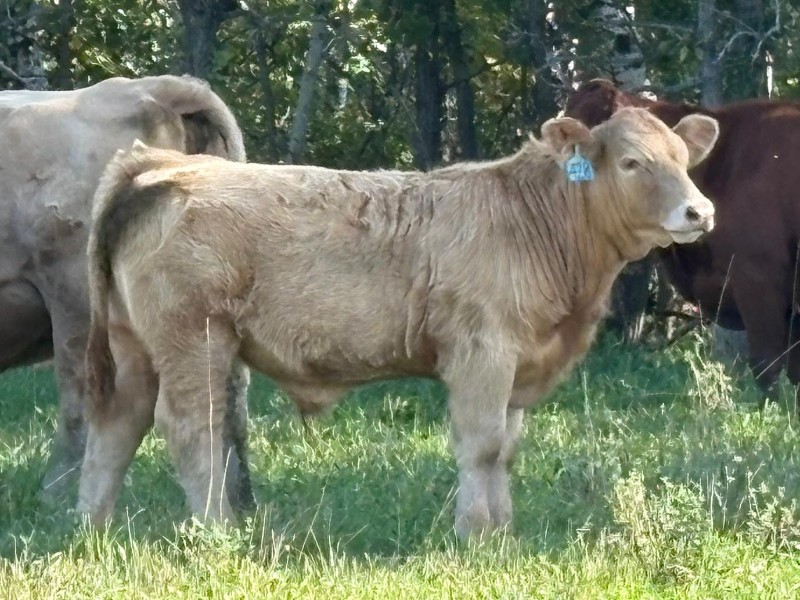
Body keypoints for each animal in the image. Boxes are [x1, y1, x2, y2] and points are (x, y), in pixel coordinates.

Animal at [78, 107, 718, 539]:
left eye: (684, 161)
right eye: (632, 162)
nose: (700, 211)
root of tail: (164, 165)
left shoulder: (518, 365)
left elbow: (505, 449)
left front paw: (502, 532)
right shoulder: (482, 350)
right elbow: (481, 444)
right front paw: (475, 533)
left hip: (135, 347)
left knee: (117, 424)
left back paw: (93, 528)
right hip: (195, 338)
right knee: (192, 428)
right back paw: (219, 533)